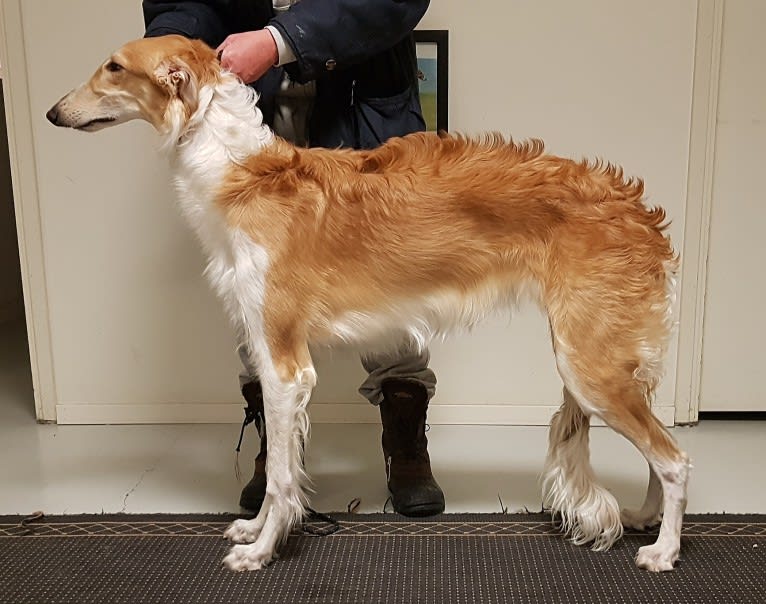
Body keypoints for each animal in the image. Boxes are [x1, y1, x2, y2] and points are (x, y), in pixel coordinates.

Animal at [49, 35, 696, 572]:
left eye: (113, 66)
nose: (54, 113)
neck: (240, 171)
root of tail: (638, 210)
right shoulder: (266, 350)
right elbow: (281, 464)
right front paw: (254, 529)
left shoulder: (286, 365)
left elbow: (282, 474)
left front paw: (261, 551)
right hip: (607, 364)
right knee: (659, 452)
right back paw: (645, 519)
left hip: (589, 366)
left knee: (675, 457)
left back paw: (664, 551)